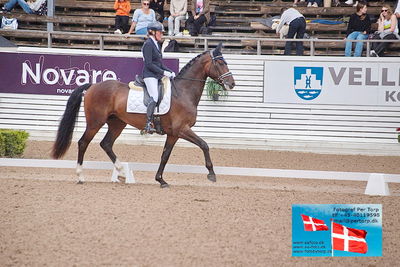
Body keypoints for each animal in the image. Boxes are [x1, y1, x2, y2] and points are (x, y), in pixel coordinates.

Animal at [51, 42, 236, 188]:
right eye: (220, 63)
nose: (232, 84)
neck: (183, 92)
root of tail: (92, 86)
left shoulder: (173, 133)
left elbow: (165, 155)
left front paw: (161, 180)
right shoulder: (182, 129)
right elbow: (204, 145)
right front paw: (211, 174)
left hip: (117, 123)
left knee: (106, 144)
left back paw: (122, 173)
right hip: (95, 122)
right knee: (83, 143)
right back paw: (81, 175)